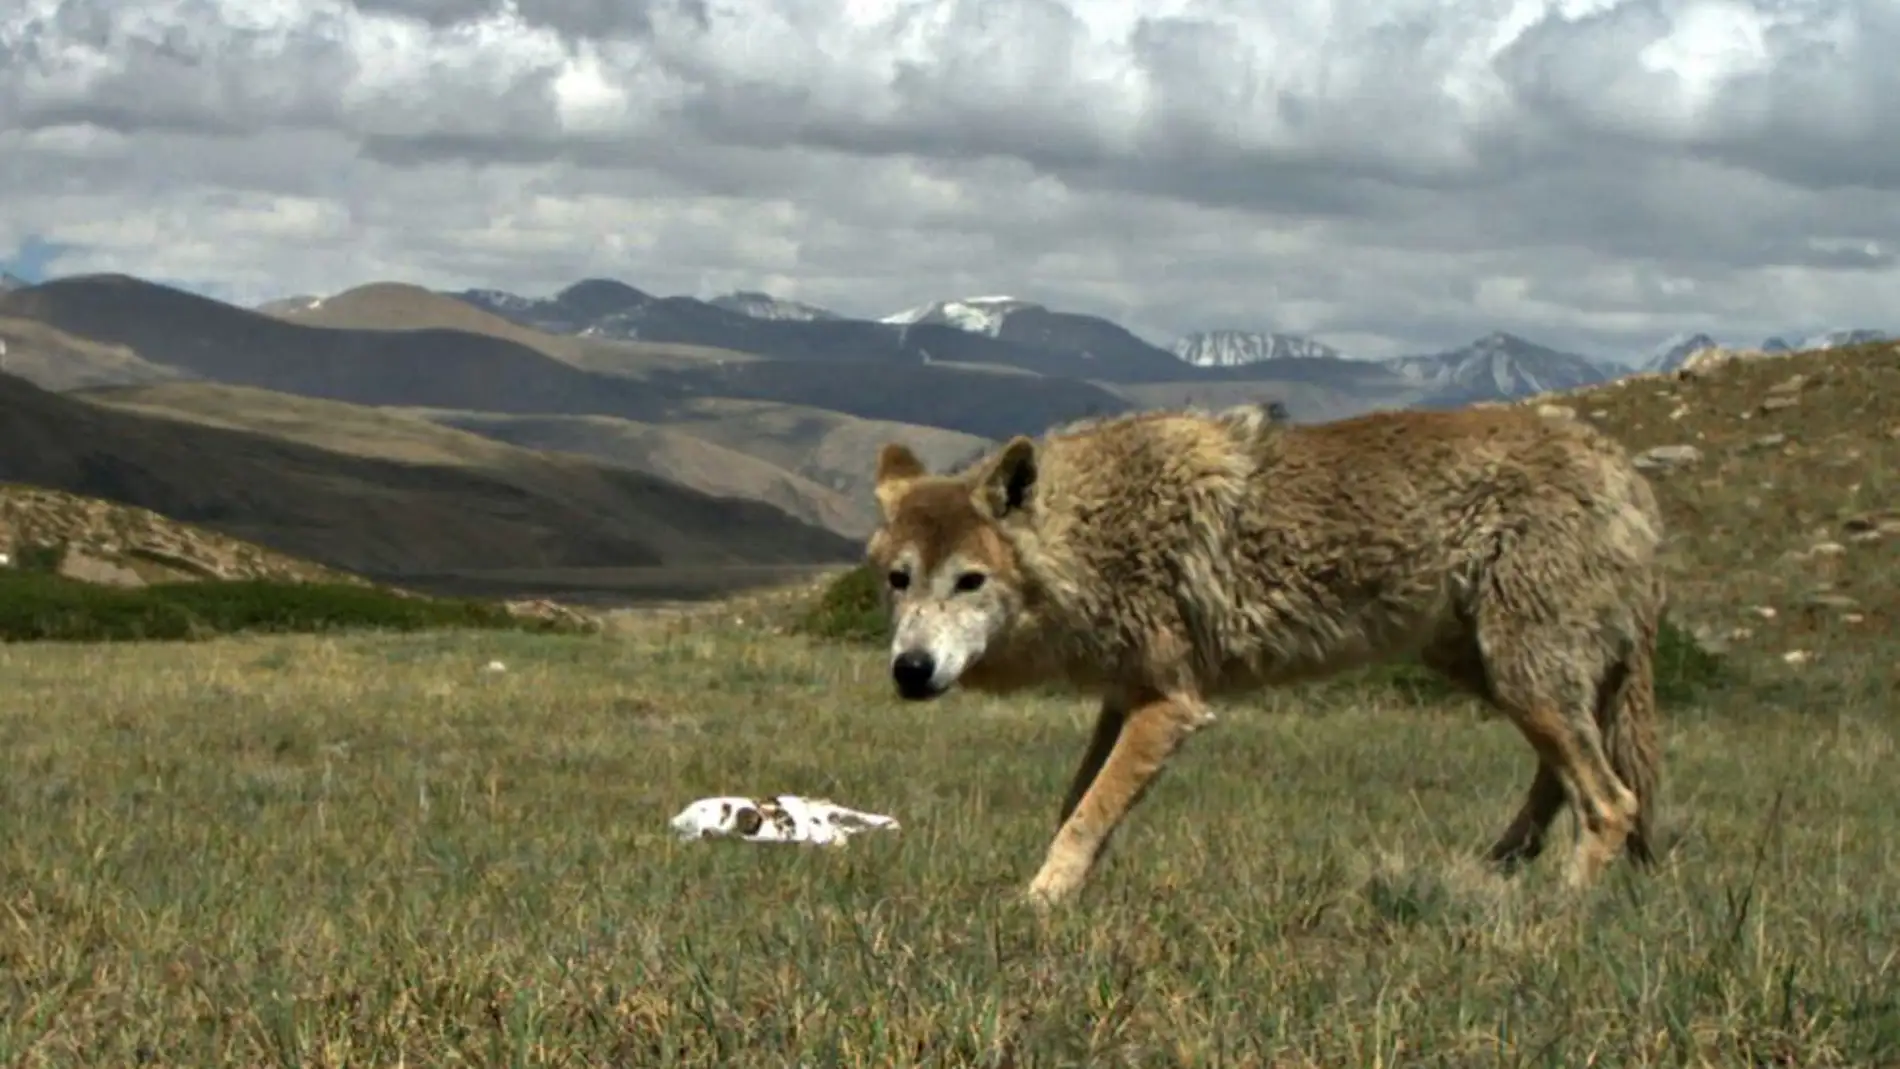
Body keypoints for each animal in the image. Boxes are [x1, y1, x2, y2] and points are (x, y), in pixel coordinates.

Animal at [862, 404, 1664, 911]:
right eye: (899, 580)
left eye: (969, 581)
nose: (910, 670)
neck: (1092, 536)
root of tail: (1628, 476)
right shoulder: (1124, 699)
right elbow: (1078, 807)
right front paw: (1066, 891)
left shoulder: (1172, 706)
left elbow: (1087, 815)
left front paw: (1037, 904)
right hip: (1501, 677)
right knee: (1566, 783)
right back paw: (1494, 874)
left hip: (1523, 679)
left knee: (1612, 802)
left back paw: (1552, 912)